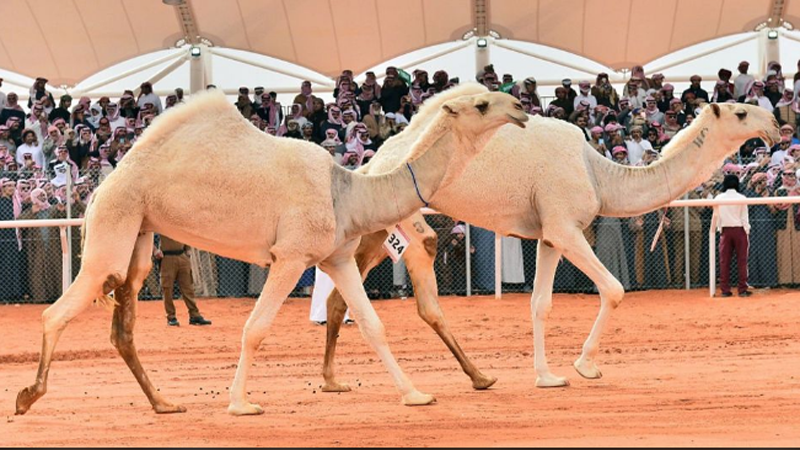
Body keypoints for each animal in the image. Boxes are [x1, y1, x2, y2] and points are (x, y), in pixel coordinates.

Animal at [15, 85, 528, 414]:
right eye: (482, 103)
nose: (522, 108)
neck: (349, 193)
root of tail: (103, 187)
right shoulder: (291, 256)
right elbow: (255, 328)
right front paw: (241, 403)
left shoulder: (336, 257)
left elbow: (372, 325)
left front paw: (416, 394)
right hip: (114, 223)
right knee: (57, 312)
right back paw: (28, 396)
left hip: (139, 234)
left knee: (122, 324)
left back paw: (163, 403)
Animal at [320, 83, 780, 390]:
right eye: (741, 113)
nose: (775, 125)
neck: (598, 173)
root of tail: (373, 162)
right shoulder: (565, 226)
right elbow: (613, 289)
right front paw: (585, 365)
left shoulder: (549, 237)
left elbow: (540, 303)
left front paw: (546, 375)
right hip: (401, 221)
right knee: (423, 287)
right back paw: (476, 377)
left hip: (374, 230)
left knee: (340, 294)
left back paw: (332, 379)